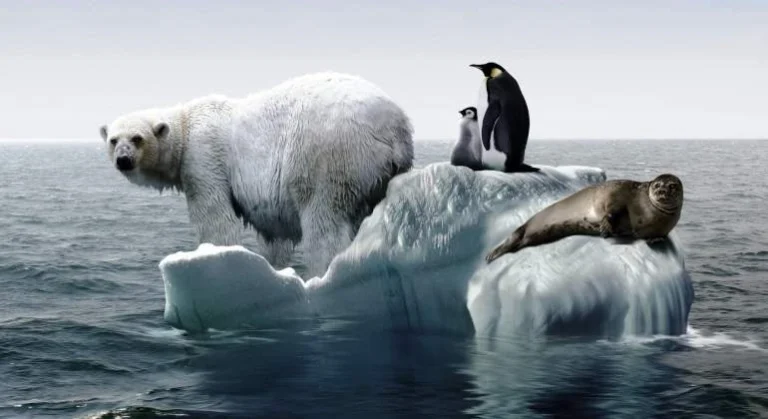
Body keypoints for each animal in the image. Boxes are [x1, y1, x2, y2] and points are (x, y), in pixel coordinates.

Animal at [100, 72, 414, 279]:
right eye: (114, 140)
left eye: (137, 138)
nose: (123, 160)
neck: (186, 124)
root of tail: (394, 128)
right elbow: (274, 231)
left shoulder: (203, 156)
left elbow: (215, 217)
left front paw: (214, 256)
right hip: (378, 175)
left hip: (328, 154)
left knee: (324, 221)